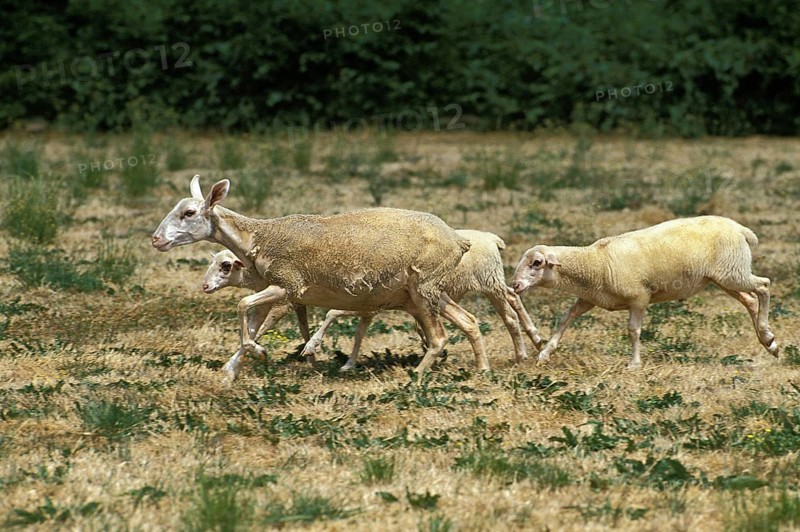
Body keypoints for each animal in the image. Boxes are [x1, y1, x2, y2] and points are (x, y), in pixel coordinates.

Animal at [202, 250, 310, 379]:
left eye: (226, 265)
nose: (205, 286)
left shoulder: (281, 297)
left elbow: (257, 319)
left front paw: (258, 352)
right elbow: (253, 327)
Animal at [300, 229, 544, 371]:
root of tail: (491, 238)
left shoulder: (368, 304)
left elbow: (333, 313)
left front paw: (312, 346)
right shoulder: (370, 308)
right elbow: (359, 333)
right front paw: (348, 364)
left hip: (489, 282)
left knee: (509, 314)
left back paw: (521, 353)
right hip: (488, 283)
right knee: (513, 296)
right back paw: (534, 339)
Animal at [511, 215, 778, 368]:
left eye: (536, 263)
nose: (514, 285)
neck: (595, 263)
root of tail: (741, 229)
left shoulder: (639, 298)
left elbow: (633, 330)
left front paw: (634, 363)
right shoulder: (589, 299)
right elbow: (566, 318)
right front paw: (545, 353)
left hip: (733, 273)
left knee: (763, 286)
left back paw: (767, 334)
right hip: (725, 276)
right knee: (750, 300)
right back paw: (768, 342)